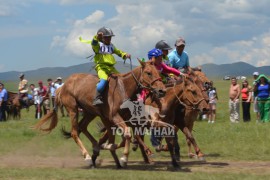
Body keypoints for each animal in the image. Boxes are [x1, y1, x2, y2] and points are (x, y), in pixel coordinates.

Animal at [33, 59, 165, 168]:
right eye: (148, 72)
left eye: (158, 72)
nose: (162, 90)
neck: (123, 89)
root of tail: (62, 86)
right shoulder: (114, 117)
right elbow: (126, 134)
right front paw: (123, 159)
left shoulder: (117, 119)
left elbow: (121, 138)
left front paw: (110, 149)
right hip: (73, 110)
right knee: (75, 132)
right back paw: (87, 158)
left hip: (89, 112)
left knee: (82, 127)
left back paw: (96, 148)